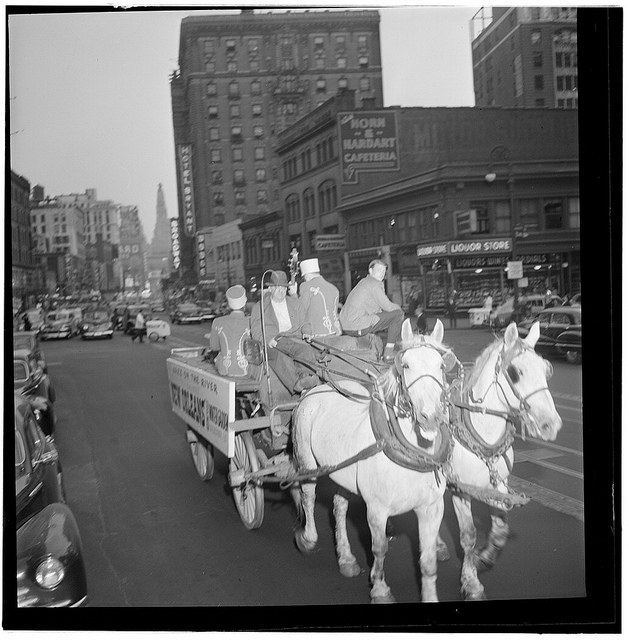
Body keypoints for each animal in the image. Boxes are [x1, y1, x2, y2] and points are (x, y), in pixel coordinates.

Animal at [292, 320, 454, 604]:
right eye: (406, 365)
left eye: (441, 366)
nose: (430, 417)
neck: (411, 451)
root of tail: (316, 388)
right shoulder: (377, 509)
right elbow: (379, 548)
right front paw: (380, 589)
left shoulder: (432, 508)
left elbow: (428, 560)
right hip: (307, 460)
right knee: (308, 495)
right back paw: (308, 538)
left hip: (344, 469)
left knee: (339, 507)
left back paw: (346, 558)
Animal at [440, 322, 560, 604]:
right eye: (515, 372)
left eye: (547, 369)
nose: (551, 425)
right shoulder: (461, 489)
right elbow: (468, 536)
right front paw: (471, 582)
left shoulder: (498, 484)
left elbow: (502, 527)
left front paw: (485, 557)